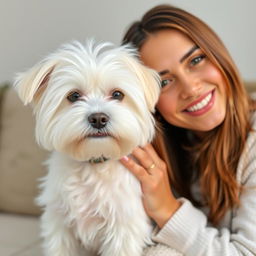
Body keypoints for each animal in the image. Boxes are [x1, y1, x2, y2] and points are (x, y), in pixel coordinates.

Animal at [13, 41, 160, 255]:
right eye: (74, 96)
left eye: (117, 94)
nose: (98, 118)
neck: (94, 164)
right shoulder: (60, 225)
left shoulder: (123, 228)